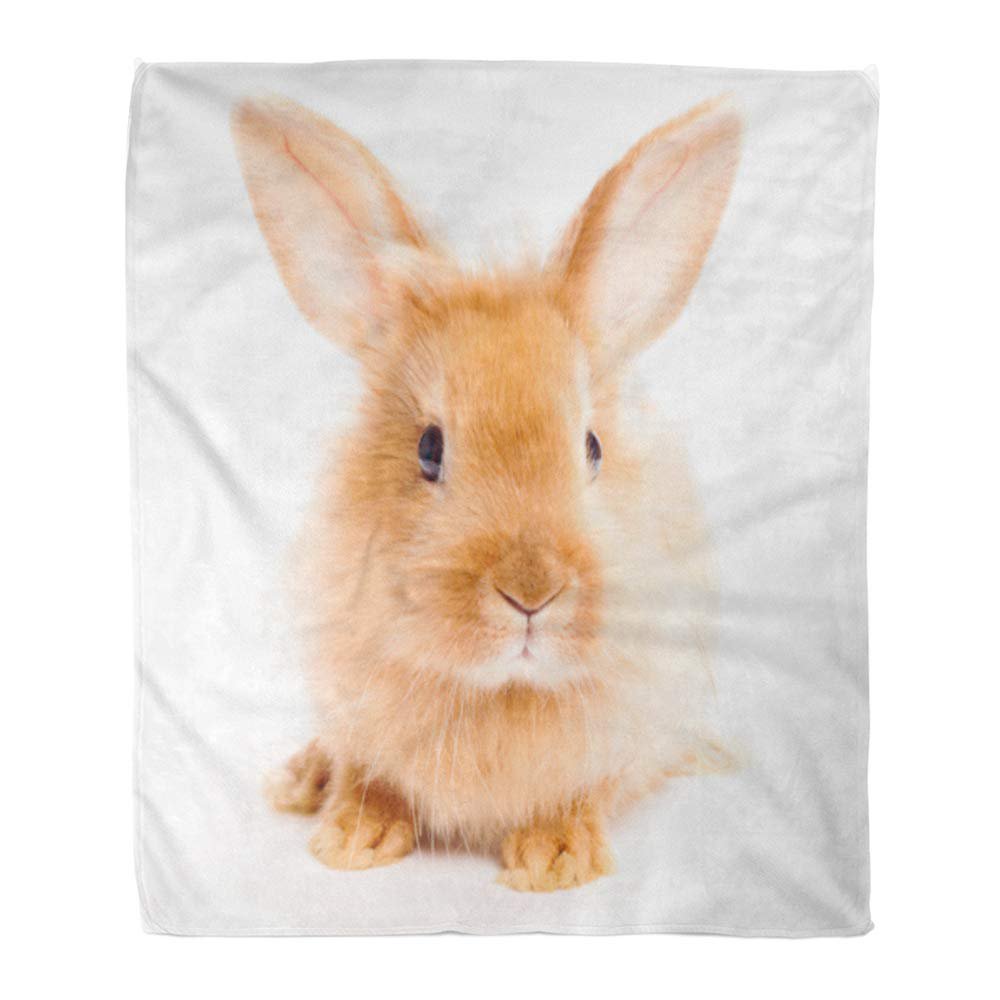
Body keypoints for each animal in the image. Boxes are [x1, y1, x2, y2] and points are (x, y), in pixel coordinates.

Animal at [233, 94, 741, 891]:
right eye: (428, 448)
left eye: (592, 447)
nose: (530, 592)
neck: (501, 688)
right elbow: (370, 773)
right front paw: (351, 840)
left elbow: (581, 792)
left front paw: (556, 861)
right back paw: (300, 781)